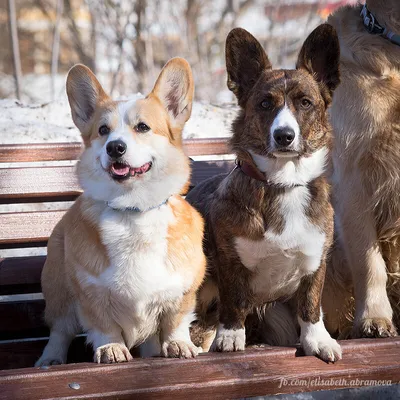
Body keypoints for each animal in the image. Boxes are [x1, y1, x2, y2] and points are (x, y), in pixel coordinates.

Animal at [34, 57, 206, 368]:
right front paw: (111, 349)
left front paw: (179, 345)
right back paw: (50, 360)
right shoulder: (90, 291)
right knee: (60, 330)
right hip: (58, 290)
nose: (115, 147)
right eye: (103, 130)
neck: (132, 210)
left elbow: (175, 321)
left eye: (143, 127)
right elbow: (104, 325)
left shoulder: (183, 290)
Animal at [188, 25, 340, 362]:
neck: (282, 183)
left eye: (305, 103)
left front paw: (318, 341)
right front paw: (231, 337)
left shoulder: (317, 262)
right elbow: (233, 302)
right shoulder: (230, 262)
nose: (284, 136)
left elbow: (312, 305)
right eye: (265, 104)